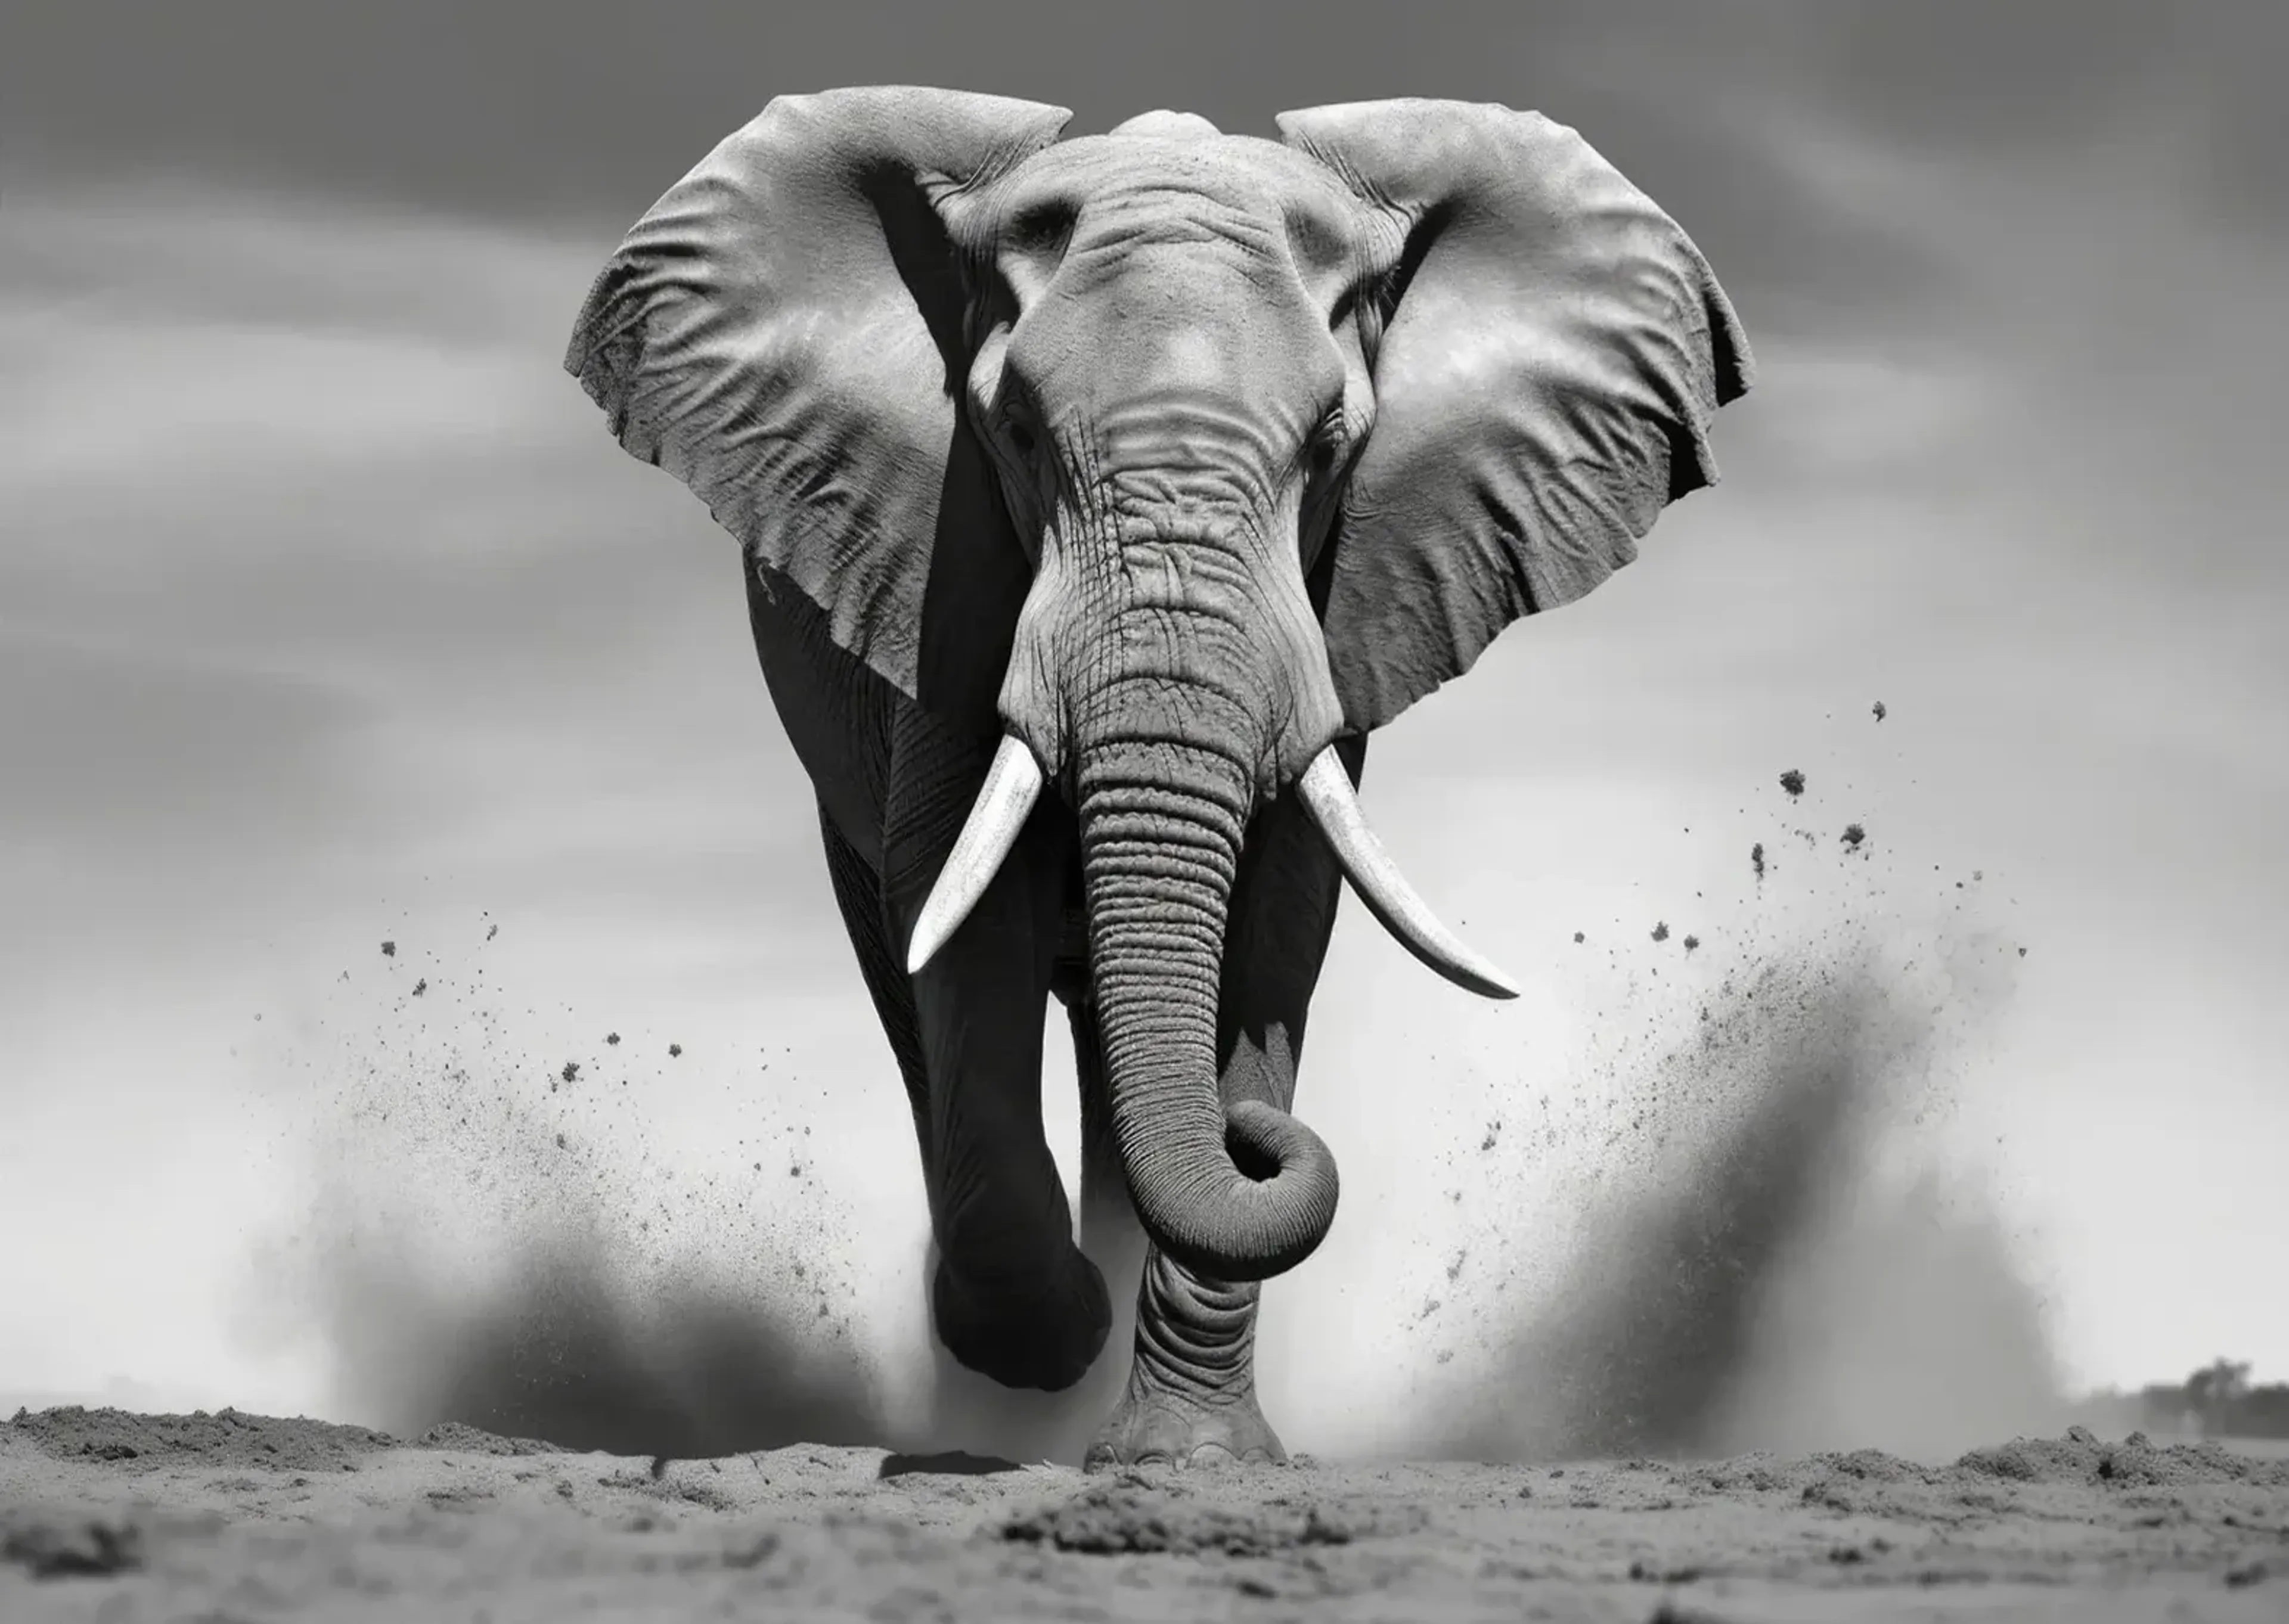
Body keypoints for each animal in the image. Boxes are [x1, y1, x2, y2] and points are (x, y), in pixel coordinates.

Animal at [563, 88, 1751, 1468]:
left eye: (1332, 447)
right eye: (1014, 436)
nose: (1252, 1145)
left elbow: (1276, 926)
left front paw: (1187, 1456)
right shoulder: (948, 575)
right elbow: (963, 916)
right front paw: (1053, 1338)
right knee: (906, 974)